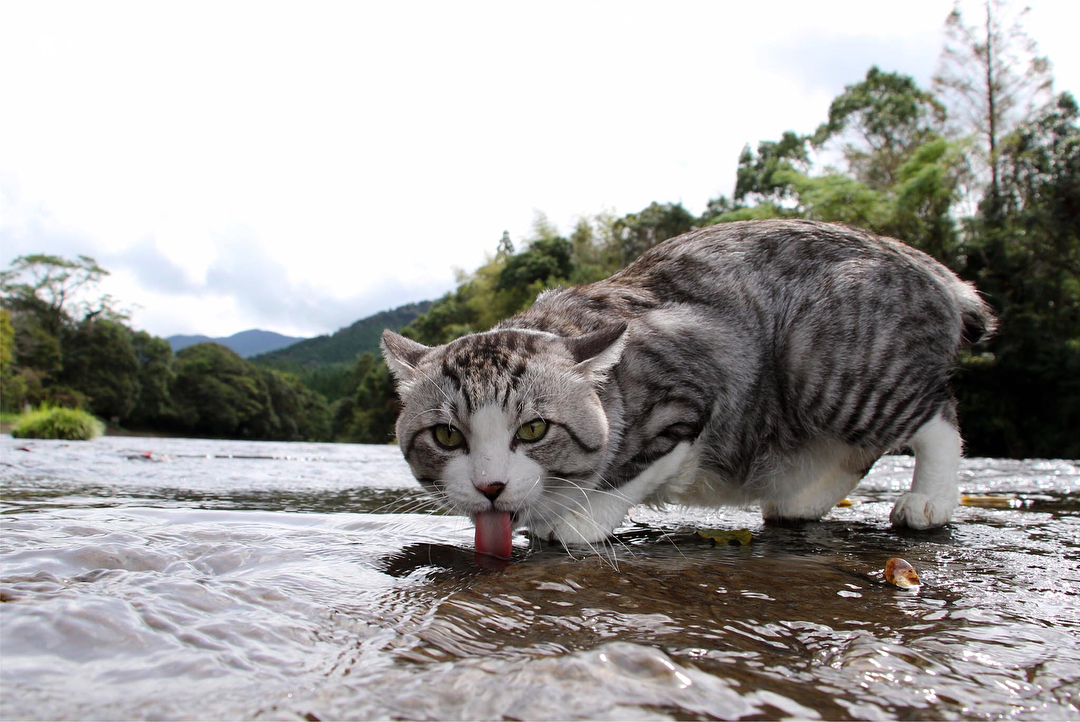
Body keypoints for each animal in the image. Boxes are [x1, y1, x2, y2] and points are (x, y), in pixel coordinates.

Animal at [384, 220, 997, 556]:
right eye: (446, 436)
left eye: (534, 430)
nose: (490, 486)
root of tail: (923, 263)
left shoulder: (695, 389)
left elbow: (634, 471)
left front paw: (580, 520)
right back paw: (802, 499)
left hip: (827, 363)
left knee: (936, 413)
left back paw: (930, 499)